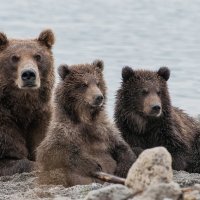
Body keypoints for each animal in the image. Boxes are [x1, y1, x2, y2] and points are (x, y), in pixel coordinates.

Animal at [0, 29, 54, 175]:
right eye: (14, 57)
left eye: (38, 56)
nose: (29, 74)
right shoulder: (5, 121)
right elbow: (12, 157)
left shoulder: (40, 117)